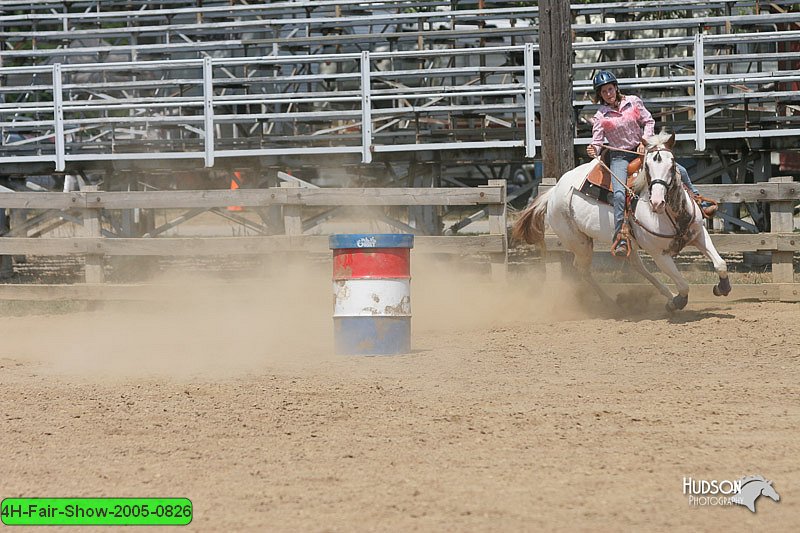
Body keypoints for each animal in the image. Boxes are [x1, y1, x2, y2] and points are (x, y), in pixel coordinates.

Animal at [512, 131, 732, 312]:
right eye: (647, 167)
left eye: (672, 164)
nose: (657, 202)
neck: (673, 214)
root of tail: (552, 192)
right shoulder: (659, 254)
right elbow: (684, 285)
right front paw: (677, 302)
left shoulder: (699, 235)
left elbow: (720, 264)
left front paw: (722, 287)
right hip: (580, 243)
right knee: (583, 270)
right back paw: (610, 302)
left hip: (626, 241)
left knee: (636, 265)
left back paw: (666, 295)